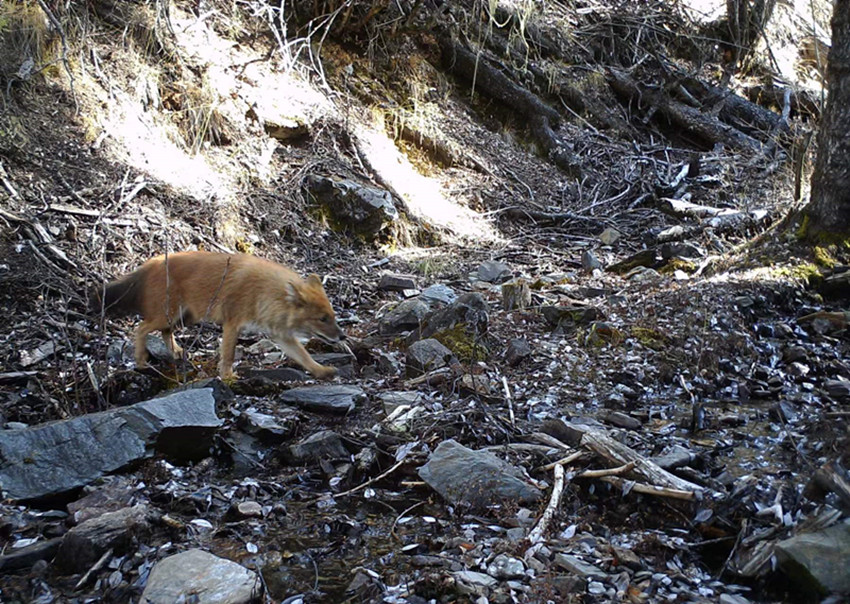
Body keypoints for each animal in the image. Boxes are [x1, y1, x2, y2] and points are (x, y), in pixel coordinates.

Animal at [94, 251, 345, 380]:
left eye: (332, 316)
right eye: (322, 319)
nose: (342, 337)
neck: (266, 293)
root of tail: (151, 262)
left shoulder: (281, 335)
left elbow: (304, 356)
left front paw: (321, 371)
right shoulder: (233, 323)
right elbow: (229, 354)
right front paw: (227, 377)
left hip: (185, 316)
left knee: (165, 332)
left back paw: (176, 352)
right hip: (169, 315)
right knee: (141, 328)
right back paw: (140, 360)